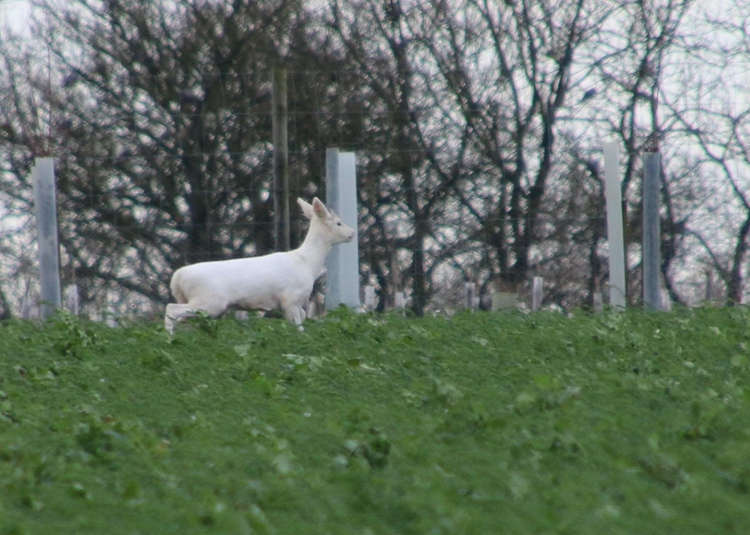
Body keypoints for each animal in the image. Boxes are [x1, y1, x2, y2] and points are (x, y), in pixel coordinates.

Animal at [166, 198, 354, 336]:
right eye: (338, 223)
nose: (352, 233)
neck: (307, 263)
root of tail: (176, 279)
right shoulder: (290, 299)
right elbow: (299, 327)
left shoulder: (295, 304)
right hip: (209, 301)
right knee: (171, 310)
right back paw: (169, 338)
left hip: (196, 302)